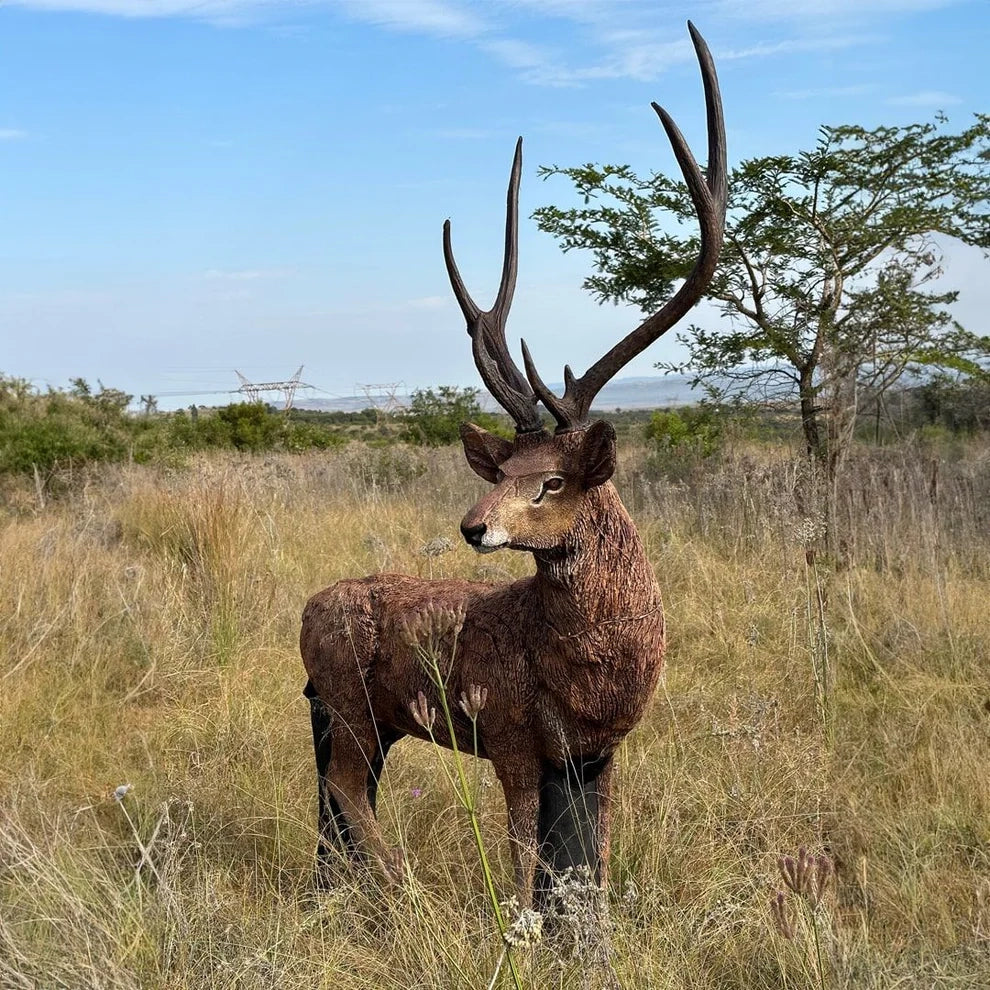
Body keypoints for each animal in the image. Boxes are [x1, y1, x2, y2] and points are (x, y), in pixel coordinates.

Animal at [301, 22, 726, 910]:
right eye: (496, 474)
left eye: (550, 481)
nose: (472, 527)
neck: (589, 679)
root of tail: (301, 615)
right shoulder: (508, 735)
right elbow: (526, 864)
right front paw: (512, 925)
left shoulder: (598, 755)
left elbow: (590, 865)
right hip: (348, 698)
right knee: (348, 788)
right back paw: (402, 892)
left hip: (368, 715)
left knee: (338, 791)